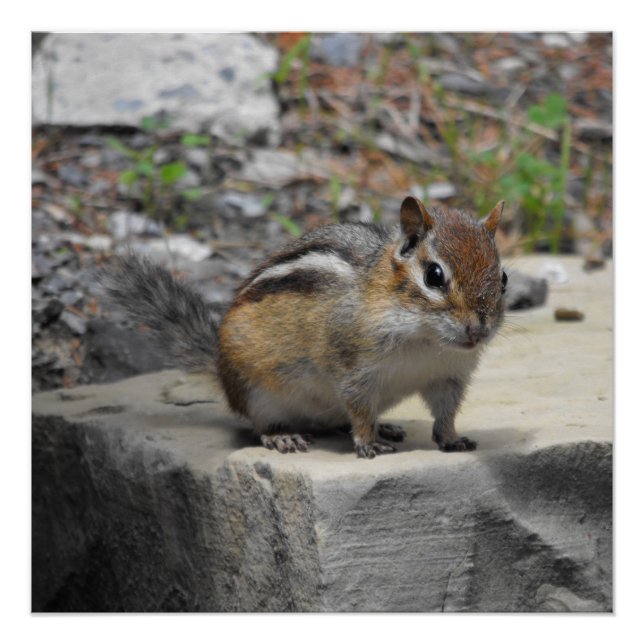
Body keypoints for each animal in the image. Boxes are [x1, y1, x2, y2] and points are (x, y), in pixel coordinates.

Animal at [103, 196, 507, 459]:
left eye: (502, 278)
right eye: (434, 276)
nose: (478, 329)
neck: (426, 339)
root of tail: (220, 369)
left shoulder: (449, 376)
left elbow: (445, 412)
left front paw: (451, 439)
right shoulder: (354, 368)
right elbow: (359, 408)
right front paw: (368, 441)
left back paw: (385, 425)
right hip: (257, 394)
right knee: (260, 426)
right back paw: (283, 438)